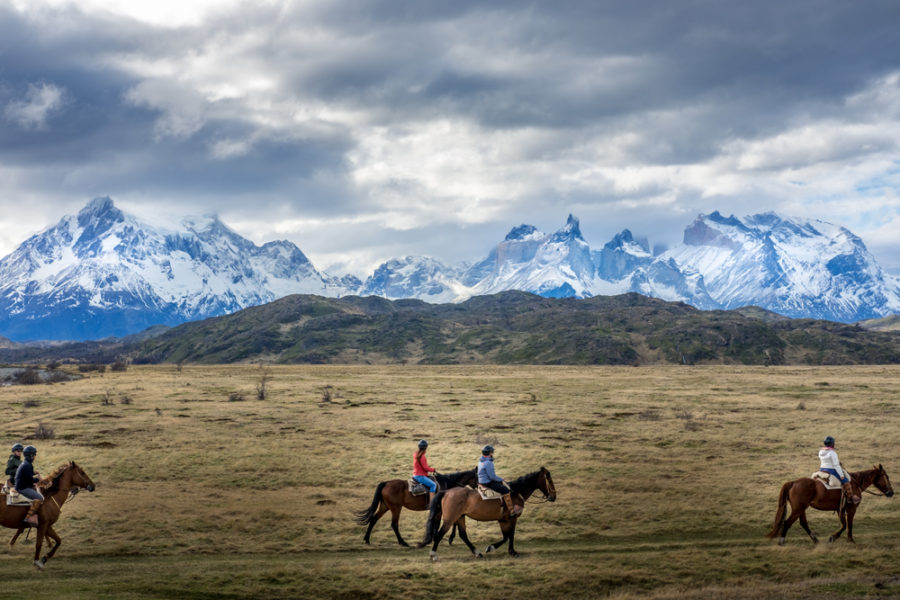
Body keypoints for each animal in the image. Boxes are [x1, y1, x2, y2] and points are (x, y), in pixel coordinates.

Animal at [416, 466, 556, 560]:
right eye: (549, 479)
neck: (516, 492)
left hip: (460, 517)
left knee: (463, 535)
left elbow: (506, 536)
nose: (554, 497)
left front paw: (495, 548)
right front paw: (510, 551)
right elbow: (510, 535)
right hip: (450, 519)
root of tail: (446, 492)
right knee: (439, 535)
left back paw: (477, 553)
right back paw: (433, 555)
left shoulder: (503, 520)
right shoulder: (511, 518)